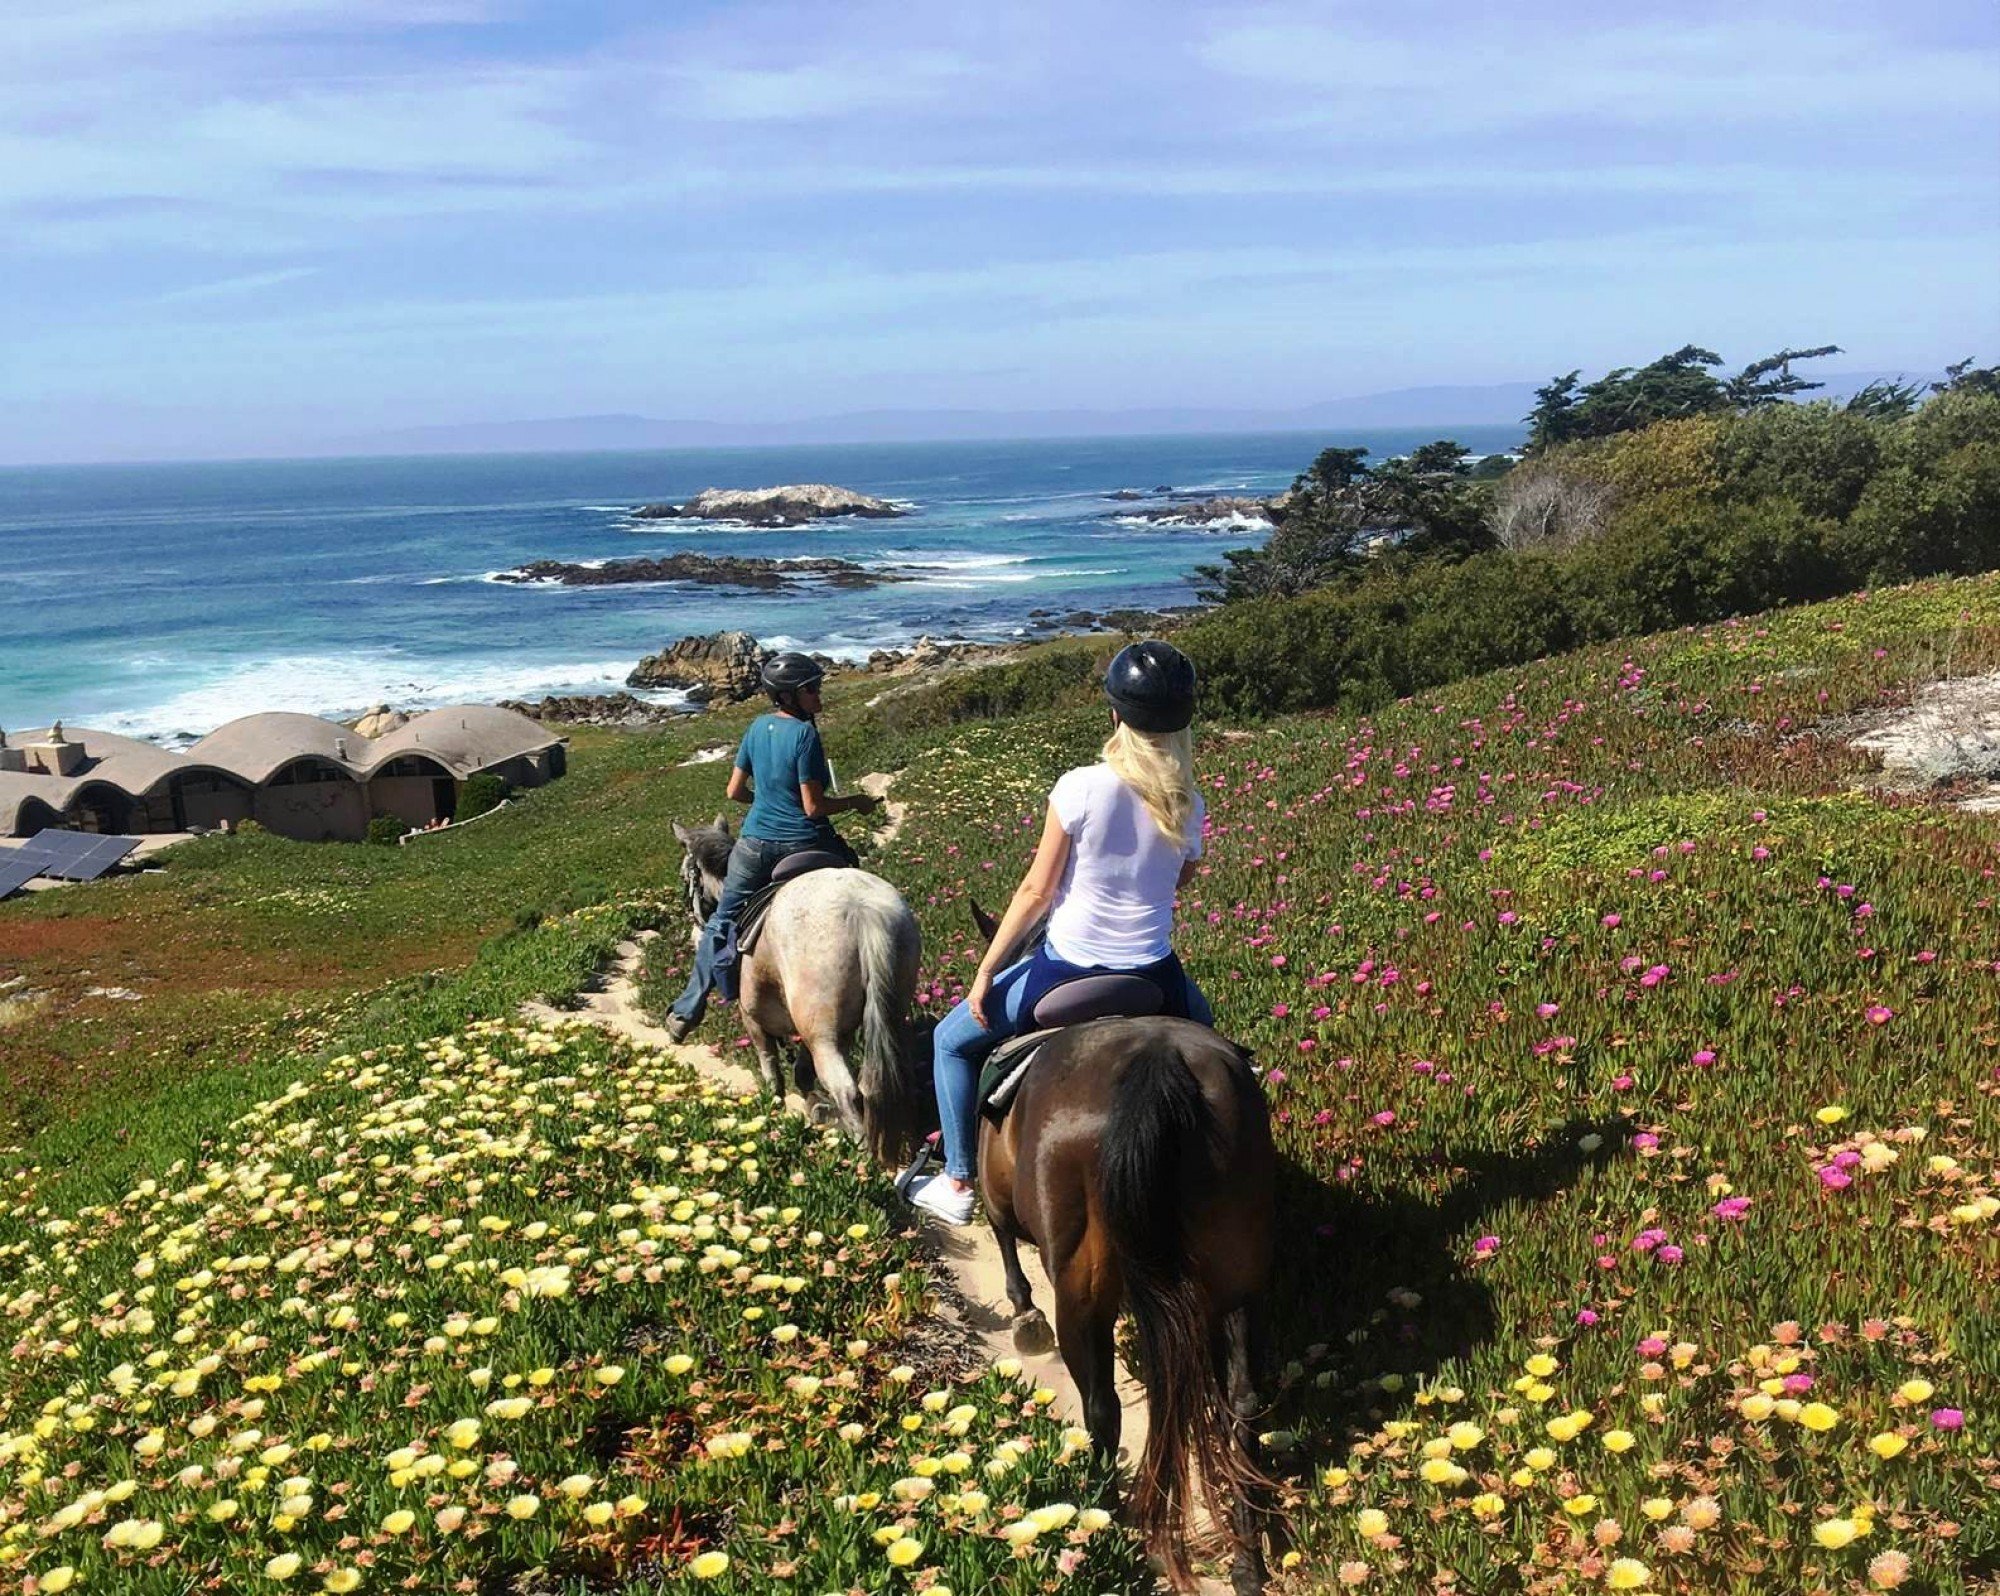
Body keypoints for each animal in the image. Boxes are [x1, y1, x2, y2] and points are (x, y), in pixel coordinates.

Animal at [672, 812, 920, 1160]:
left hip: (821, 1033)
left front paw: (772, 1107)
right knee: (875, 1083)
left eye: (686, 875)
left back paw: (860, 1155)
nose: (694, 929)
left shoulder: (752, 1017)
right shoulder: (821, 1027)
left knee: (846, 1088)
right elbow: (802, 1071)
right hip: (877, 1013)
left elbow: (770, 1068)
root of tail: (862, 910)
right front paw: (816, 1107)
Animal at [896, 908, 1272, 1592]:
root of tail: (1156, 1060)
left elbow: (1002, 1241)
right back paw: (1245, 1557)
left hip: (1081, 1283)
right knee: (1242, 1405)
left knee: (1102, 1406)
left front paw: (1023, 1318)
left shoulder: (1000, 1202)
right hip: (1240, 1270)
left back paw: (1103, 1521)